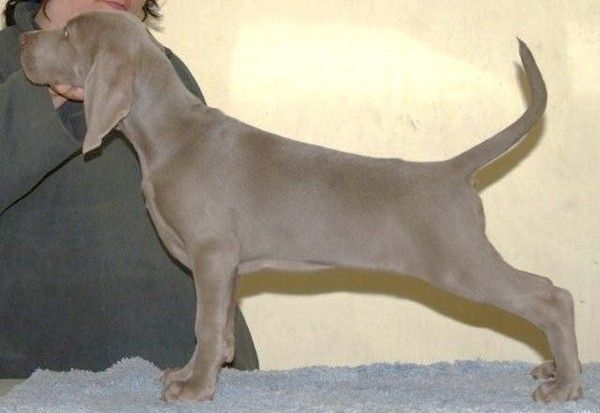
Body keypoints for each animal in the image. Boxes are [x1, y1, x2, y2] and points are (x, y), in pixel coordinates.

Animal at [20, 10, 582, 403]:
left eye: (68, 34)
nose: (23, 39)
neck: (168, 133)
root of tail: (450, 170)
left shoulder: (212, 253)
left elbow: (205, 323)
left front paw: (194, 389)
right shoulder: (226, 264)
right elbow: (221, 326)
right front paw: (197, 372)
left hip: (459, 261)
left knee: (551, 297)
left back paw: (564, 385)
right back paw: (557, 370)